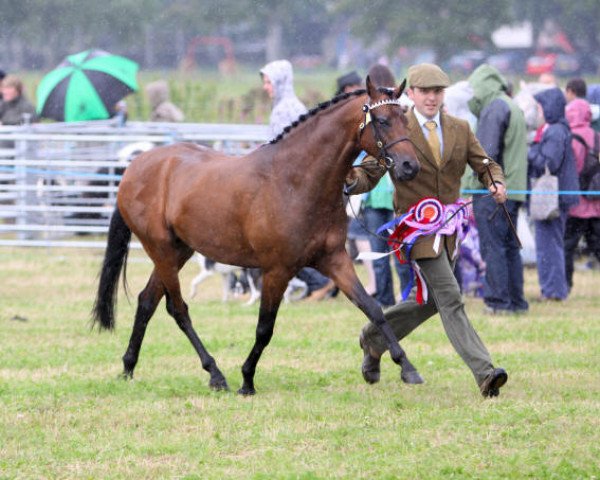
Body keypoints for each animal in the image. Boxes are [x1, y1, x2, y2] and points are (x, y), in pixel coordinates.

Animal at [92, 74, 422, 394]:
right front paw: (247, 380)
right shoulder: (277, 270)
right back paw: (215, 374)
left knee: (147, 301)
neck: (295, 181)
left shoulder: (334, 260)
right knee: (177, 308)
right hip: (160, 250)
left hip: (177, 251)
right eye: (382, 120)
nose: (410, 166)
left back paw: (128, 367)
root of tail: (134, 168)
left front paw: (406, 367)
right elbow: (265, 328)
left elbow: (373, 308)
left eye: (405, 119)